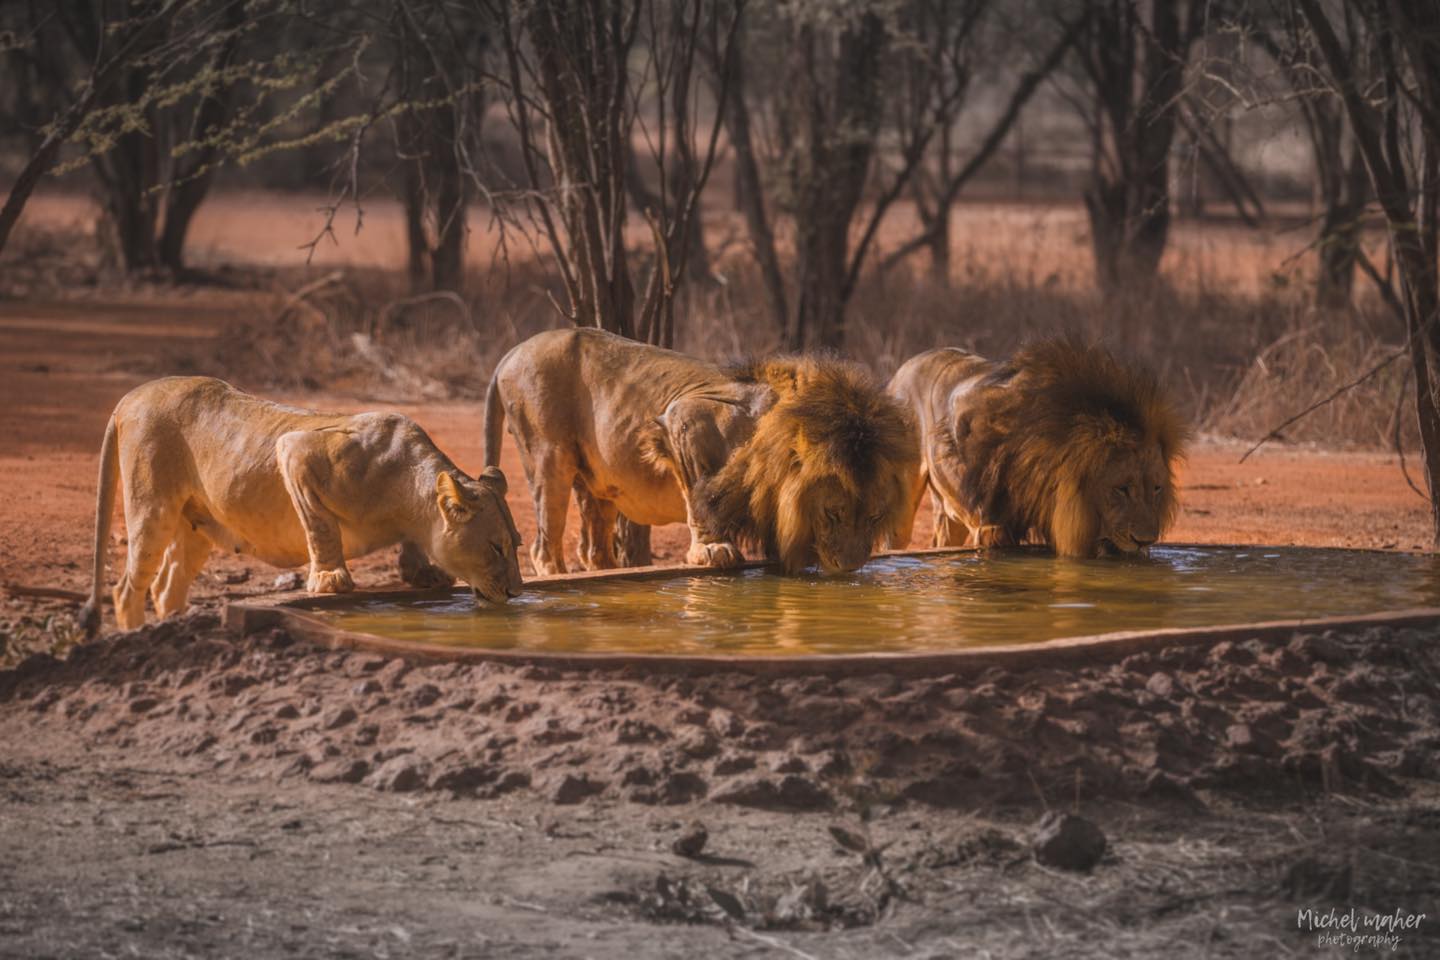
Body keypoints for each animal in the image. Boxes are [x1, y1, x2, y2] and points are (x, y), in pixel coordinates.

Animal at [80, 377, 524, 636]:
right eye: (495, 547)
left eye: (516, 544)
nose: (518, 593)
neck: (406, 496)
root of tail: (131, 396)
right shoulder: (296, 451)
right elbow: (320, 525)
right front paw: (330, 579)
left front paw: (423, 572)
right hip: (151, 508)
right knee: (126, 590)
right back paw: (134, 636)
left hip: (197, 526)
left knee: (165, 588)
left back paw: (171, 627)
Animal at [483, 328, 919, 575]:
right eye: (833, 513)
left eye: (875, 516)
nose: (850, 567)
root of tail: (508, 355)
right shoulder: (686, 417)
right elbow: (698, 496)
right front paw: (711, 550)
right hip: (547, 456)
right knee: (543, 545)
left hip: (594, 480)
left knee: (592, 540)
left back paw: (602, 571)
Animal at [887, 338, 1187, 557]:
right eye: (1121, 489)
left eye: (1157, 488)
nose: (1145, 541)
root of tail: (907, 364)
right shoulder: (992, 529)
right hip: (904, 513)